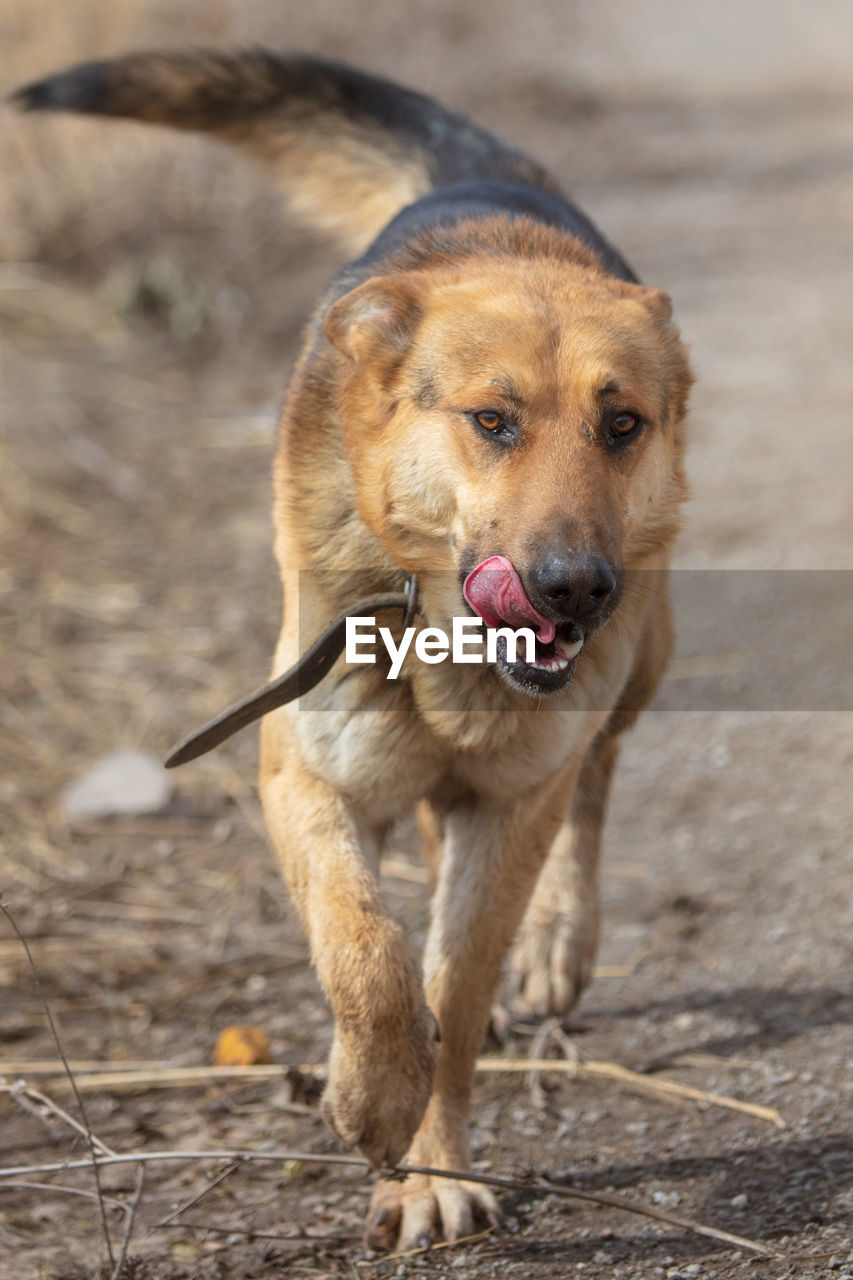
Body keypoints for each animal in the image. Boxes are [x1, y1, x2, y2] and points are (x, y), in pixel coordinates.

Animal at [14, 52, 691, 1249]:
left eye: (621, 425)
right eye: (491, 421)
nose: (573, 587)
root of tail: (474, 176)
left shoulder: (509, 808)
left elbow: (453, 987)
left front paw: (427, 1163)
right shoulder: (300, 774)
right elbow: (367, 954)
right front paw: (371, 1092)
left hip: (633, 667)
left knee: (592, 782)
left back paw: (555, 940)